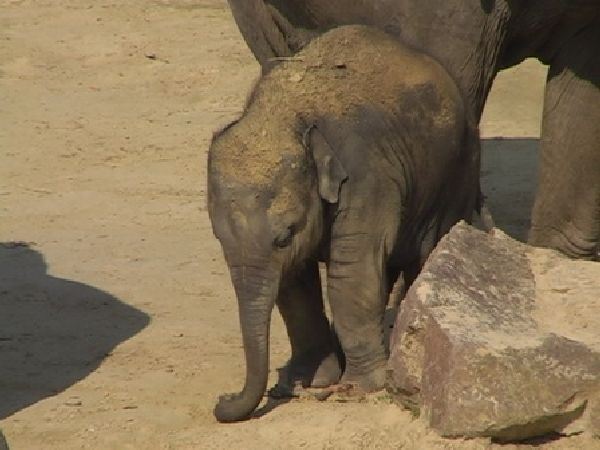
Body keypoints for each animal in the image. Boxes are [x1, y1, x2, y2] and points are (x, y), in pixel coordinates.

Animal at [209, 24, 480, 422]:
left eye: (284, 236)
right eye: (219, 238)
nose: (222, 398)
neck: (286, 115)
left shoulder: (366, 177)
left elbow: (350, 273)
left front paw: (359, 387)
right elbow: (294, 282)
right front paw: (308, 381)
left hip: (458, 172)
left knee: (426, 257)